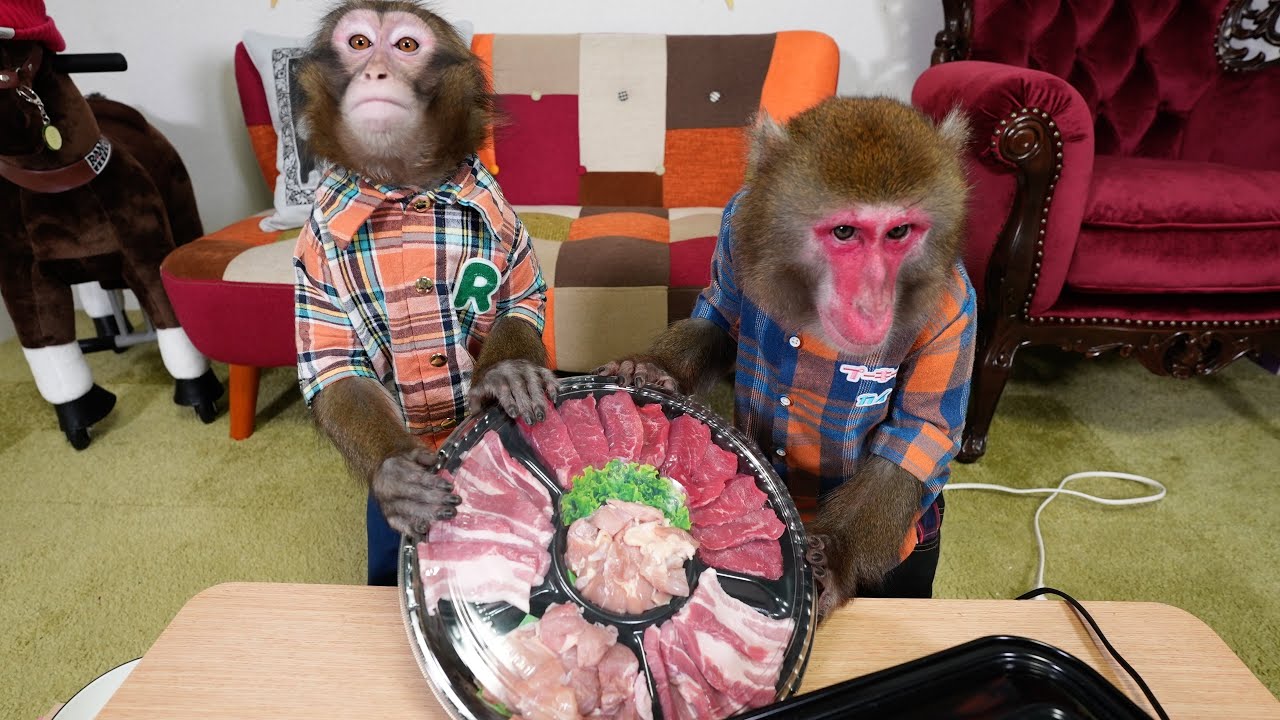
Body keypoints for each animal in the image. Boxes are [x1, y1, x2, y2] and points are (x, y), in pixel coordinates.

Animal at [292, 0, 557, 585]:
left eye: (407, 46)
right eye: (359, 43)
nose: (376, 72)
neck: (403, 191)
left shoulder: (501, 215)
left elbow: (519, 302)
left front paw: (506, 374)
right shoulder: (313, 247)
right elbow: (337, 366)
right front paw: (394, 472)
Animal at [598, 97, 976, 619]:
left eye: (899, 232)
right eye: (844, 232)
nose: (872, 303)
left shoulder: (955, 312)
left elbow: (915, 437)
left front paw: (834, 560)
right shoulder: (739, 227)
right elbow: (724, 319)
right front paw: (654, 368)